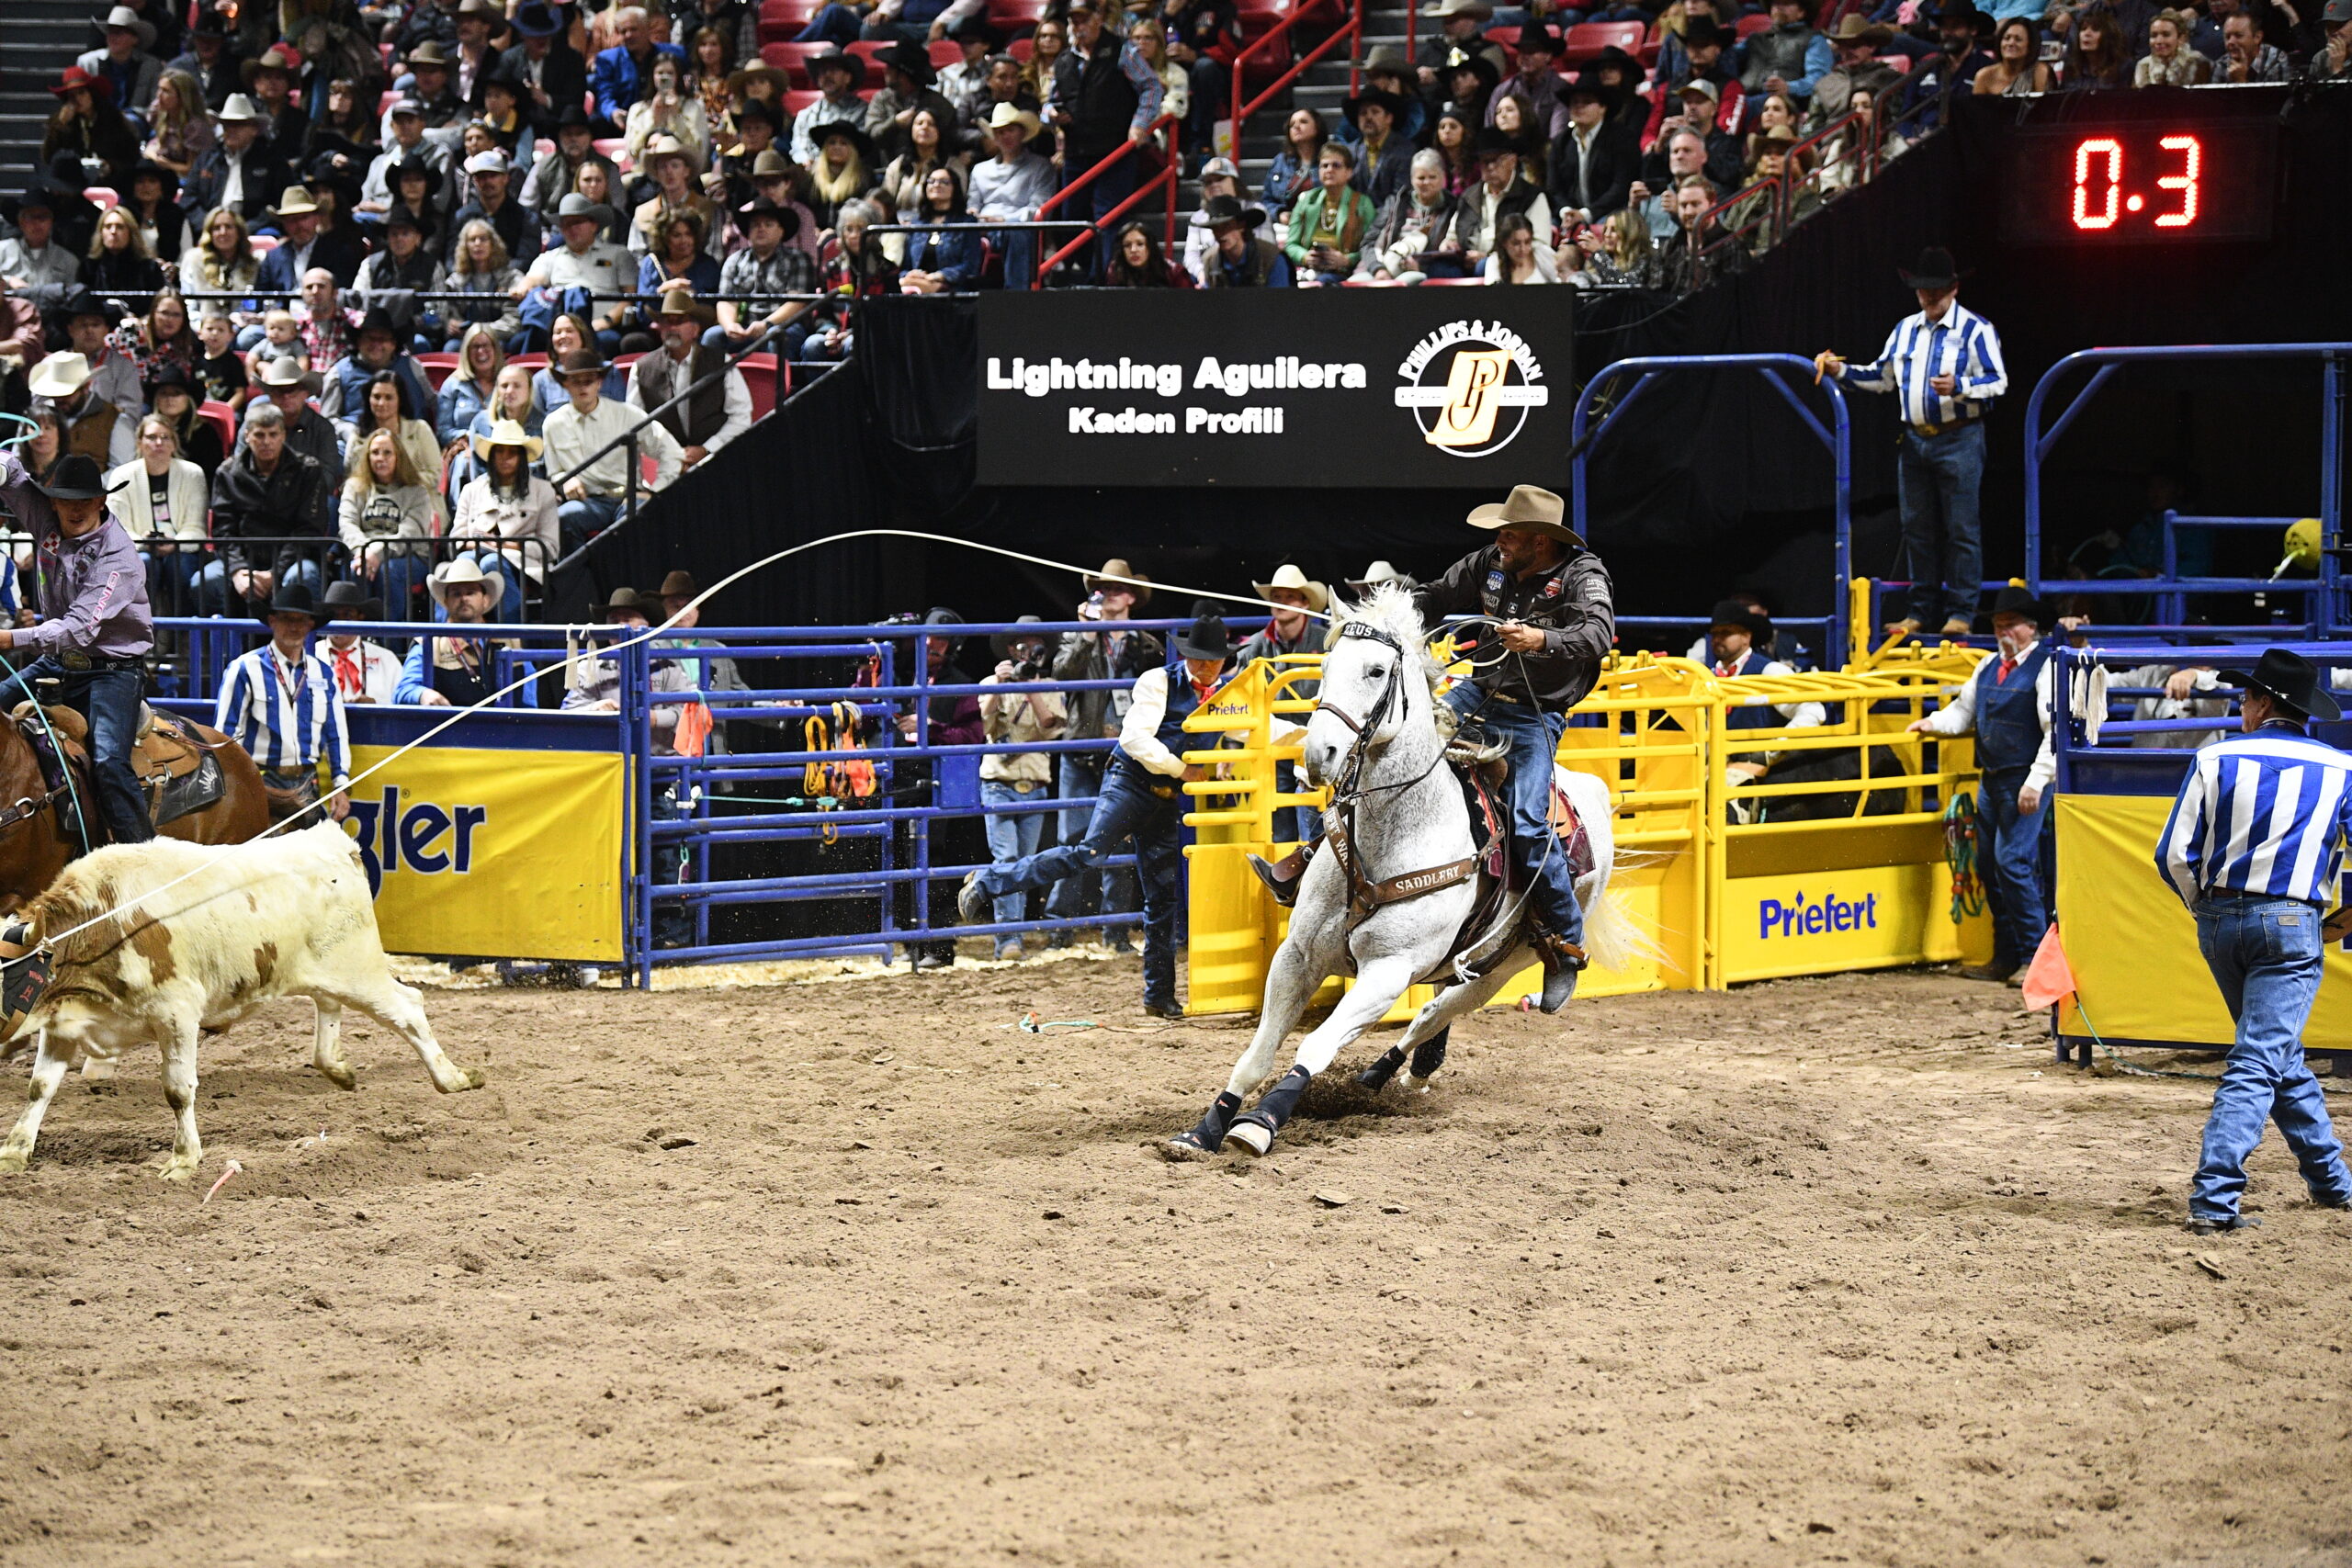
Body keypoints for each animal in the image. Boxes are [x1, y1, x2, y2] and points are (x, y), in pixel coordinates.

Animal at [0, 824, 484, 1181]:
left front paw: (183, 1159)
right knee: (327, 1004)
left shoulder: (177, 1013)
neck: (100, 923)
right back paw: (337, 1066)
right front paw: (15, 1151)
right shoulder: (62, 1023)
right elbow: (40, 1086)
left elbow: (177, 1089)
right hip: (321, 970)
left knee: (408, 1007)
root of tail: (331, 841)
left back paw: (453, 1078)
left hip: (358, 968)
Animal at [1164, 586, 1637, 1161]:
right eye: (1326, 666)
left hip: (1506, 965)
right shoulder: (1297, 956)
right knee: (1433, 1011)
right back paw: (1387, 1074)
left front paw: (1260, 1123)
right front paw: (1205, 1129)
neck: (1396, 834)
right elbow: (1258, 1052)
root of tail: (1592, 789)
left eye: (1375, 671)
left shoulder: (1388, 971)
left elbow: (1316, 1044)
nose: (1318, 754)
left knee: (1438, 1010)